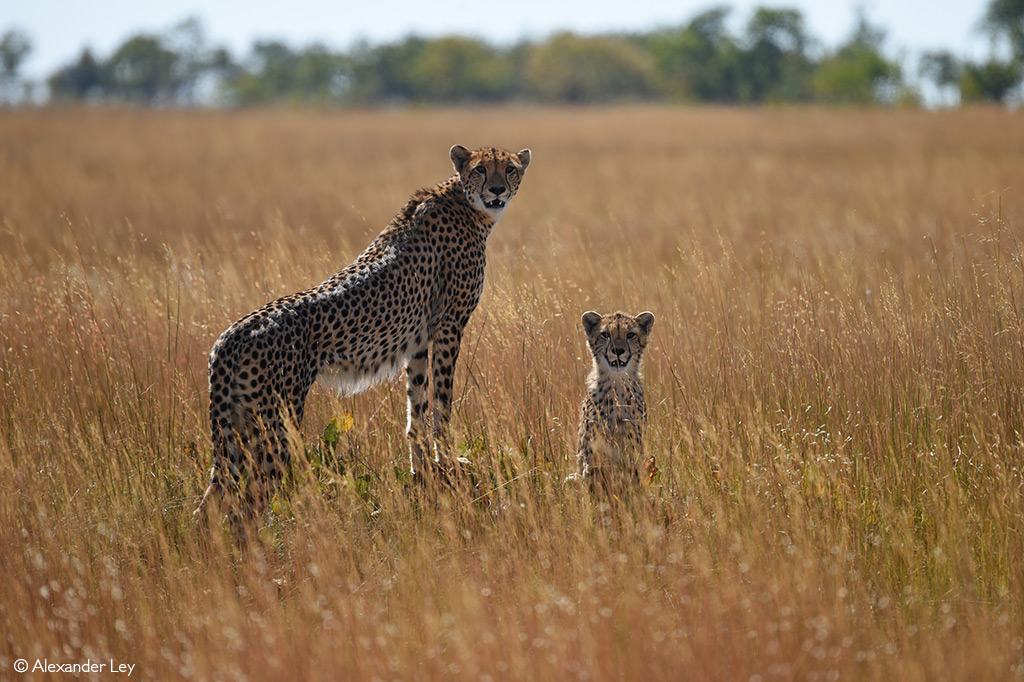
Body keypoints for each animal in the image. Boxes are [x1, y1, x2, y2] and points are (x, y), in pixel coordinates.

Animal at [192, 144, 532, 524]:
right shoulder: (448, 326)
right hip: (275, 424)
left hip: (238, 424)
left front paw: (423, 473)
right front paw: (447, 464)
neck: (465, 202)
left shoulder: (416, 341)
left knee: (214, 505)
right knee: (247, 503)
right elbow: (442, 405)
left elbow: (417, 409)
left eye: (510, 169)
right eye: (480, 169)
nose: (498, 190)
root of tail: (234, 331)